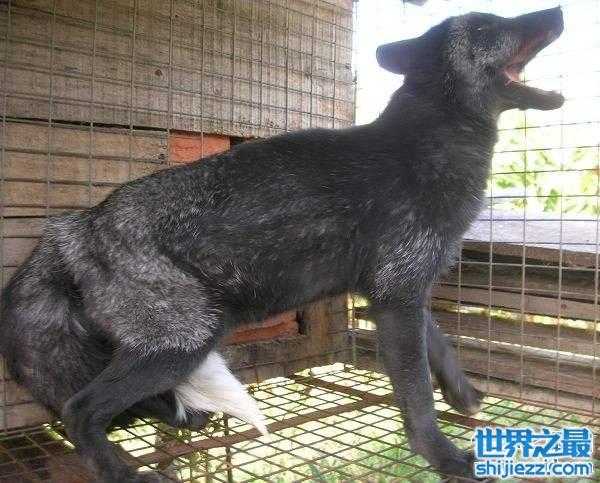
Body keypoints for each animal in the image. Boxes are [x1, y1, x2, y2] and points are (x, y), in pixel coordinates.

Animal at [0, 7, 564, 482]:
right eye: (489, 26)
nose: (558, 12)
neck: (428, 147)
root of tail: (75, 228)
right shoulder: (396, 295)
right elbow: (416, 396)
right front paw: (444, 457)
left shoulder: (399, 288)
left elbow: (440, 347)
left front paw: (465, 395)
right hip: (184, 341)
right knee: (77, 410)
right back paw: (124, 473)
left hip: (170, 344)